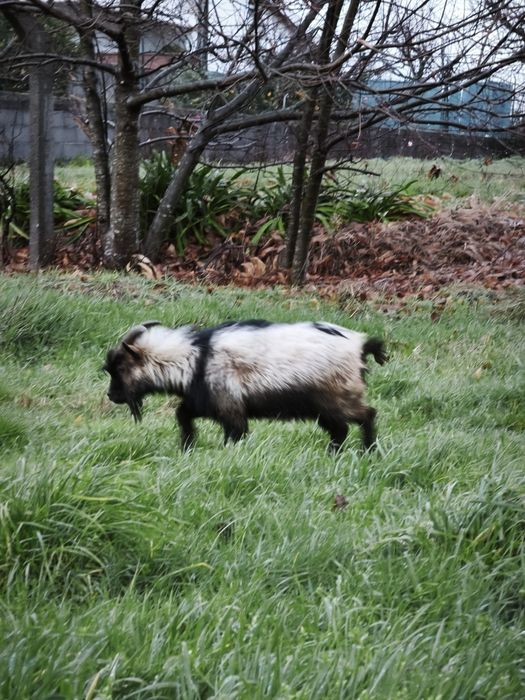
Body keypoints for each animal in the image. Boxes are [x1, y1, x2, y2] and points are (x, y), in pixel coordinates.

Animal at [103, 320, 386, 451]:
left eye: (120, 368)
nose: (111, 395)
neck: (195, 357)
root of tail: (360, 347)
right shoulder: (203, 403)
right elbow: (182, 414)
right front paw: (187, 446)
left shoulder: (230, 407)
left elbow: (235, 434)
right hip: (323, 407)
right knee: (341, 429)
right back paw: (334, 453)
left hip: (338, 397)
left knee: (366, 415)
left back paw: (368, 451)